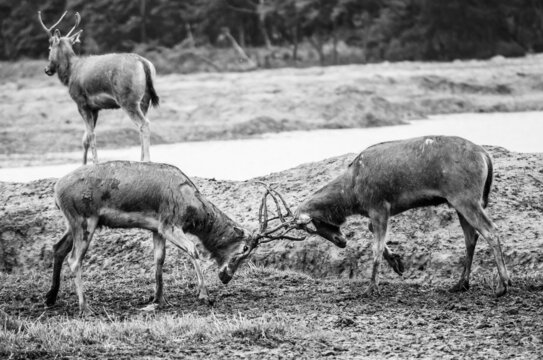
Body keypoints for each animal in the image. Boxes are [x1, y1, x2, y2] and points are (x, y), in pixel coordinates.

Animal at [37, 9, 157, 165]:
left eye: (49, 47)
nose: (47, 69)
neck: (70, 73)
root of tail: (143, 63)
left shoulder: (81, 102)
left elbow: (90, 135)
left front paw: (93, 163)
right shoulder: (95, 108)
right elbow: (85, 138)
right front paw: (85, 164)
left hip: (127, 99)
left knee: (144, 124)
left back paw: (146, 160)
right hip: (145, 100)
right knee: (140, 126)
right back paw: (141, 159)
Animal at [266, 136, 512, 298]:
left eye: (314, 223)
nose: (341, 241)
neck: (352, 193)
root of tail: (485, 156)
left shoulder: (379, 206)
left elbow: (375, 247)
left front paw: (371, 287)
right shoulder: (376, 212)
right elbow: (375, 237)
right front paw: (397, 263)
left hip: (465, 197)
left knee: (490, 230)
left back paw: (503, 285)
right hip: (459, 202)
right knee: (471, 237)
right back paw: (461, 284)